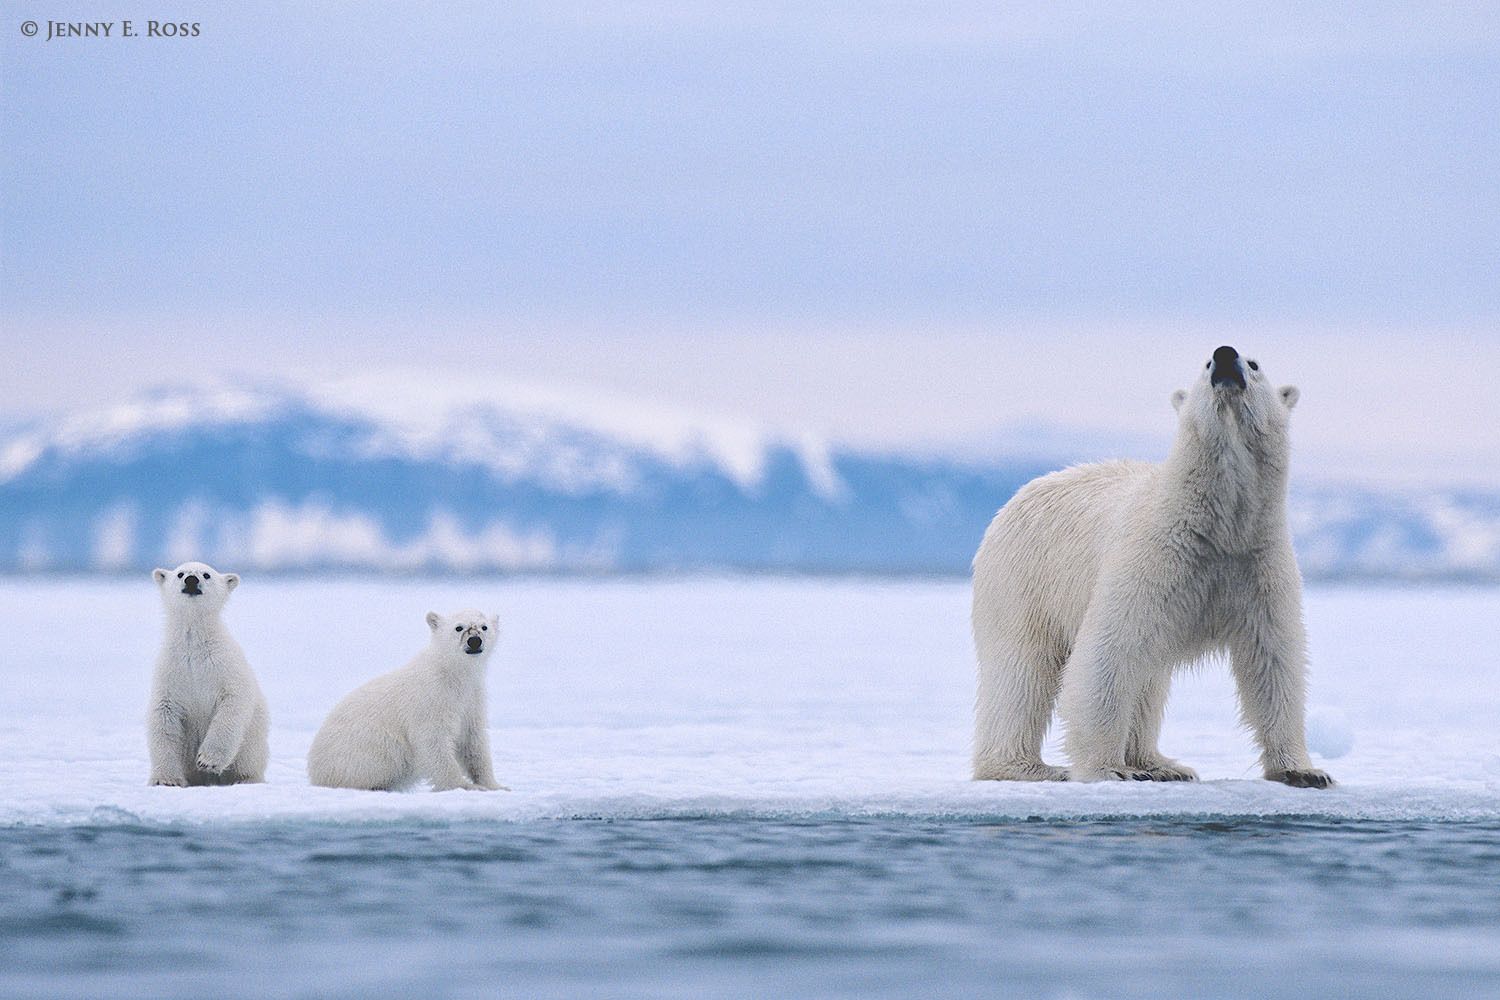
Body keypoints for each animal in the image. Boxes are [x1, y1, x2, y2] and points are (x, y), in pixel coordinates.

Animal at [147, 561, 270, 786]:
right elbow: (164, 718)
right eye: (180, 574)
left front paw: (207, 761)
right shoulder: (172, 672)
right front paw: (166, 780)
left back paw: (244, 780)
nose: (191, 580)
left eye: (206, 574)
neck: (193, 646)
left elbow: (232, 706)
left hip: (252, 743)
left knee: (249, 760)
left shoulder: (224, 667)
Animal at [306, 609, 506, 791]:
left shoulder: (472, 700)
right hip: (363, 750)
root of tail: (314, 773)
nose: (474, 641)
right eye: (459, 627)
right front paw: (463, 785)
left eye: (484, 627)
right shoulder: (431, 699)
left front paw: (495, 785)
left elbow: (473, 742)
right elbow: (434, 741)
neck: (452, 674)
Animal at [971, 346, 1332, 788]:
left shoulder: (1257, 565)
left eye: (1255, 363)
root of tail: (1016, 496)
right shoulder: (1153, 559)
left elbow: (1274, 660)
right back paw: (1030, 768)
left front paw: (1304, 771)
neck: (1217, 527)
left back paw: (1162, 765)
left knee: (1148, 679)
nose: (1224, 355)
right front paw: (1108, 769)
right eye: (1204, 365)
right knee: (1022, 671)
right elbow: (1108, 652)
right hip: (1023, 581)